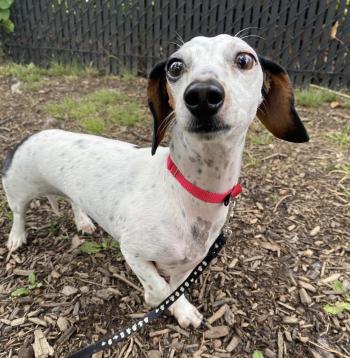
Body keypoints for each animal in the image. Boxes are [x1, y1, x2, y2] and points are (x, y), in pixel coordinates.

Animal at [3, 35, 308, 328]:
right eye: (175, 67)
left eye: (245, 59)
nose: (202, 95)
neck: (187, 192)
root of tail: (31, 136)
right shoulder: (133, 252)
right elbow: (162, 289)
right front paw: (167, 304)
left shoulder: (188, 262)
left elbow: (174, 287)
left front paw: (178, 307)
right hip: (17, 191)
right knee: (18, 214)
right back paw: (17, 237)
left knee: (73, 201)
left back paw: (83, 221)